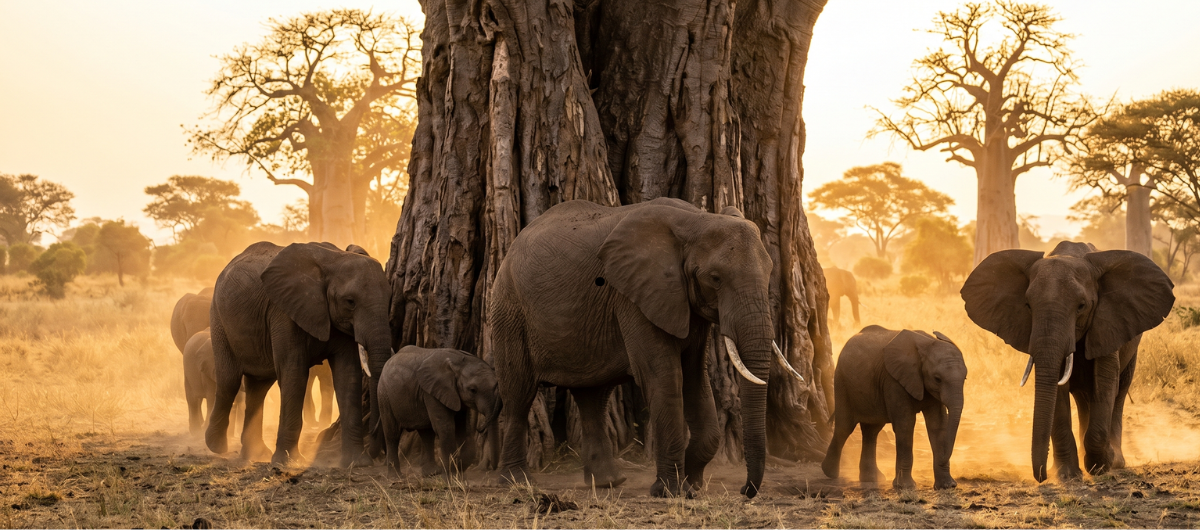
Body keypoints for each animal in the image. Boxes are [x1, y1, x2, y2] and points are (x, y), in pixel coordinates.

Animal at [205, 242, 393, 466]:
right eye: (350, 302)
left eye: (390, 298)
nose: (378, 452)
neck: (335, 259)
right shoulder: (283, 312)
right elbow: (294, 374)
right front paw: (288, 462)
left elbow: (347, 375)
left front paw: (358, 462)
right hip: (219, 320)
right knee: (229, 380)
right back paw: (216, 446)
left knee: (258, 387)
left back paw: (255, 453)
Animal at [378, 346, 502, 477]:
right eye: (473, 390)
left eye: (496, 385)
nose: (480, 428)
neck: (459, 361)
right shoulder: (431, 392)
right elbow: (446, 428)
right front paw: (451, 474)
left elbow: (462, 428)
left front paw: (458, 466)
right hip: (384, 395)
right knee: (392, 434)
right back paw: (395, 477)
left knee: (427, 434)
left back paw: (431, 473)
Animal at [489, 198, 802, 499]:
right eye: (715, 278)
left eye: (770, 271)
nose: (744, 491)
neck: (697, 219)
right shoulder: (634, 296)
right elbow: (663, 376)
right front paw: (672, 491)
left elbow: (695, 377)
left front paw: (692, 483)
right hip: (509, 310)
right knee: (518, 394)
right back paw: (516, 483)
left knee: (593, 397)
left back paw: (608, 482)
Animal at [821, 326, 966, 490]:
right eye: (937, 379)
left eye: (965, 378)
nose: (943, 459)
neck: (926, 344)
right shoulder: (893, 380)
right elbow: (905, 424)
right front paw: (905, 487)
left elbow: (937, 425)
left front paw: (947, 486)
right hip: (841, 382)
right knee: (844, 427)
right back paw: (829, 472)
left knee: (871, 431)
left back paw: (872, 478)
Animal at [961, 241, 1174, 482]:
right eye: (1028, 305)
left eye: (1081, 306)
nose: (1042, 475)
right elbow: (1058, 390)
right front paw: (1066, 474)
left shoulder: (1107, 323)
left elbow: (1105, 382)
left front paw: (1101, 465)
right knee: (1084, 399)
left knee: (1119, 392)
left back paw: (1116, 461)